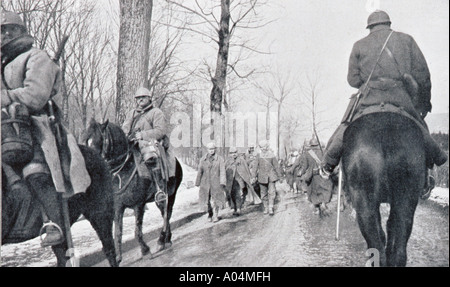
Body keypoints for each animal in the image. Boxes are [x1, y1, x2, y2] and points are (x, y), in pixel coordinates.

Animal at [81, 117, 183, 266]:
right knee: (164, 213)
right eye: (84, 140)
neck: (122, 170)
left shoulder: (138, 205)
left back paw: (161, 240)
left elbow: (137, 231)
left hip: (172, 193)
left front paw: (145, 251)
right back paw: (166, 240)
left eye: (97, 140)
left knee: (167, 215)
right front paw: (118, 257)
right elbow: (117, 232)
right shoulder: (118, 207)